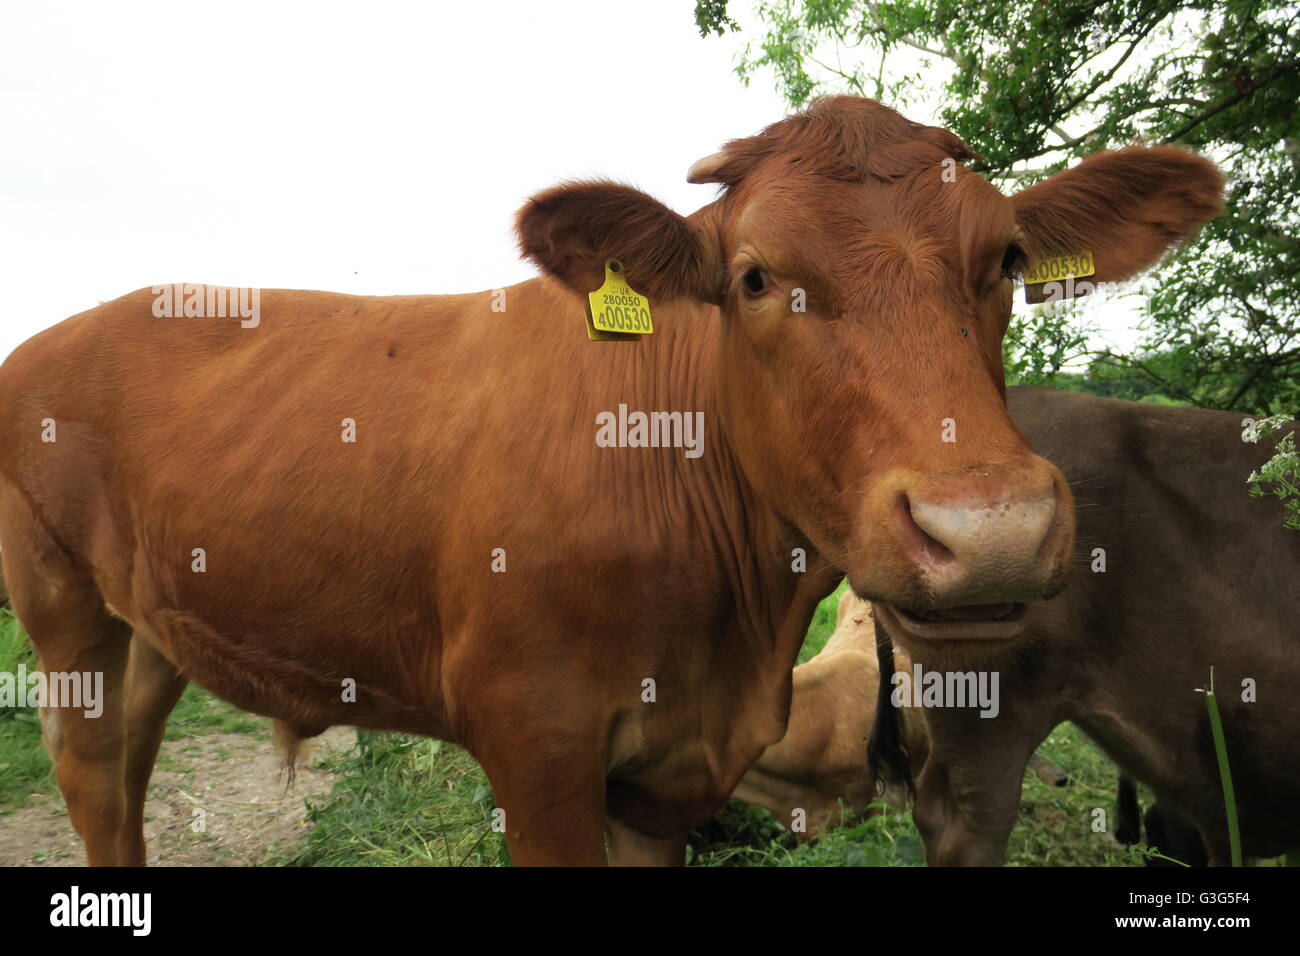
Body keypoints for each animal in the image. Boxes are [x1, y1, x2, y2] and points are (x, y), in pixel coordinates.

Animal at [0, 98, 1216, 868]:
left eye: (1005, 259)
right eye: (755, 277)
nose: (991, 528)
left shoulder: (670, 772)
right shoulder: (534, 746)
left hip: (155, 622)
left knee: (131, 775)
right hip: (60, 607)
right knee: (90, 777)